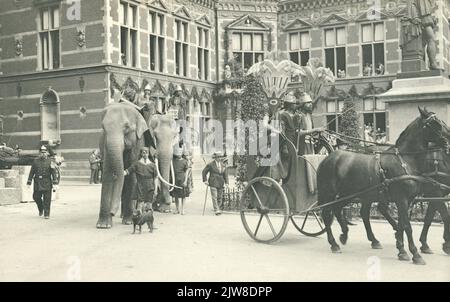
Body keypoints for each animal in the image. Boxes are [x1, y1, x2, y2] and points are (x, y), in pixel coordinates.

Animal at [96, 101, 149, 229]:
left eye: (127, 127)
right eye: (103, 128)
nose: (112, 212)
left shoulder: (138, 142)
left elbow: (131, 176)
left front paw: (129, 221)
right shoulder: (105, 145)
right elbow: (107, 174)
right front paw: (103, 225)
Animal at [316, 107, 450, 264]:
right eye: (435, 123)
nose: (448, 137)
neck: (404, 160)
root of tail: (328, 158)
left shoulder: (409, 199)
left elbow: (403, 223)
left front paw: (402, 249)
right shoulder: (405, 198)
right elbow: (408, 225)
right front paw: (415, 253)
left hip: (351, 194)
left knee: (341, 209)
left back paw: (348, 235)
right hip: (329, 193)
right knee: (326, 214)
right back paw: (334, 243)